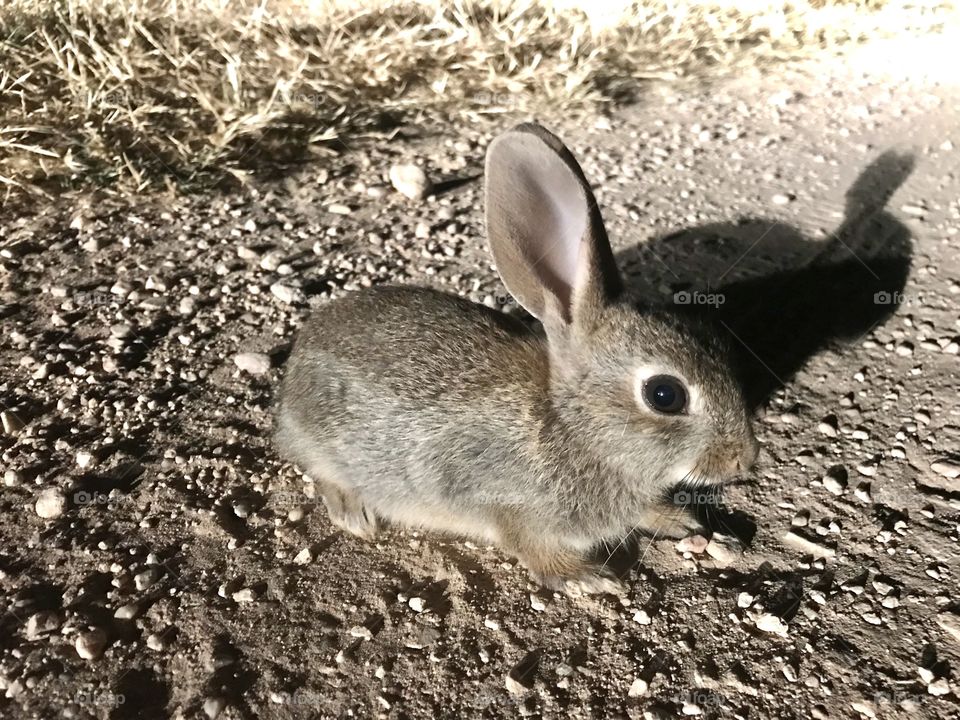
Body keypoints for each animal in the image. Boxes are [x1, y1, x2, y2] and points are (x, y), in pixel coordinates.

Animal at [275, 122, 759, 595]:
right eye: (664, 395)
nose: (745, 458)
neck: (573, 428)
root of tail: (300, 353)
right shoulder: (510, 508)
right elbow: (532, 548)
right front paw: (587, 577)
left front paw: (678, 519)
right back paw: (353, 511)